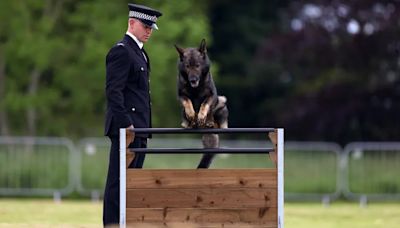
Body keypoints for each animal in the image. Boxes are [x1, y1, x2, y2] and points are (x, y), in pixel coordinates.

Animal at [174, 39, 228, 168]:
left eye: (197, 65)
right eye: (187, 66)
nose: (193, 80)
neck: (196, 88)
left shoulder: (211, 96)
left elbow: (205, 105)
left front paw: (202, 116)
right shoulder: (181, 95)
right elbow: (188, 102)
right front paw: (192, 113)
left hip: (222, 102)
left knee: (220, 124)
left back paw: (210, 123)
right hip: (182, 113)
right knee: (186, 120)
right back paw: (191, 123)